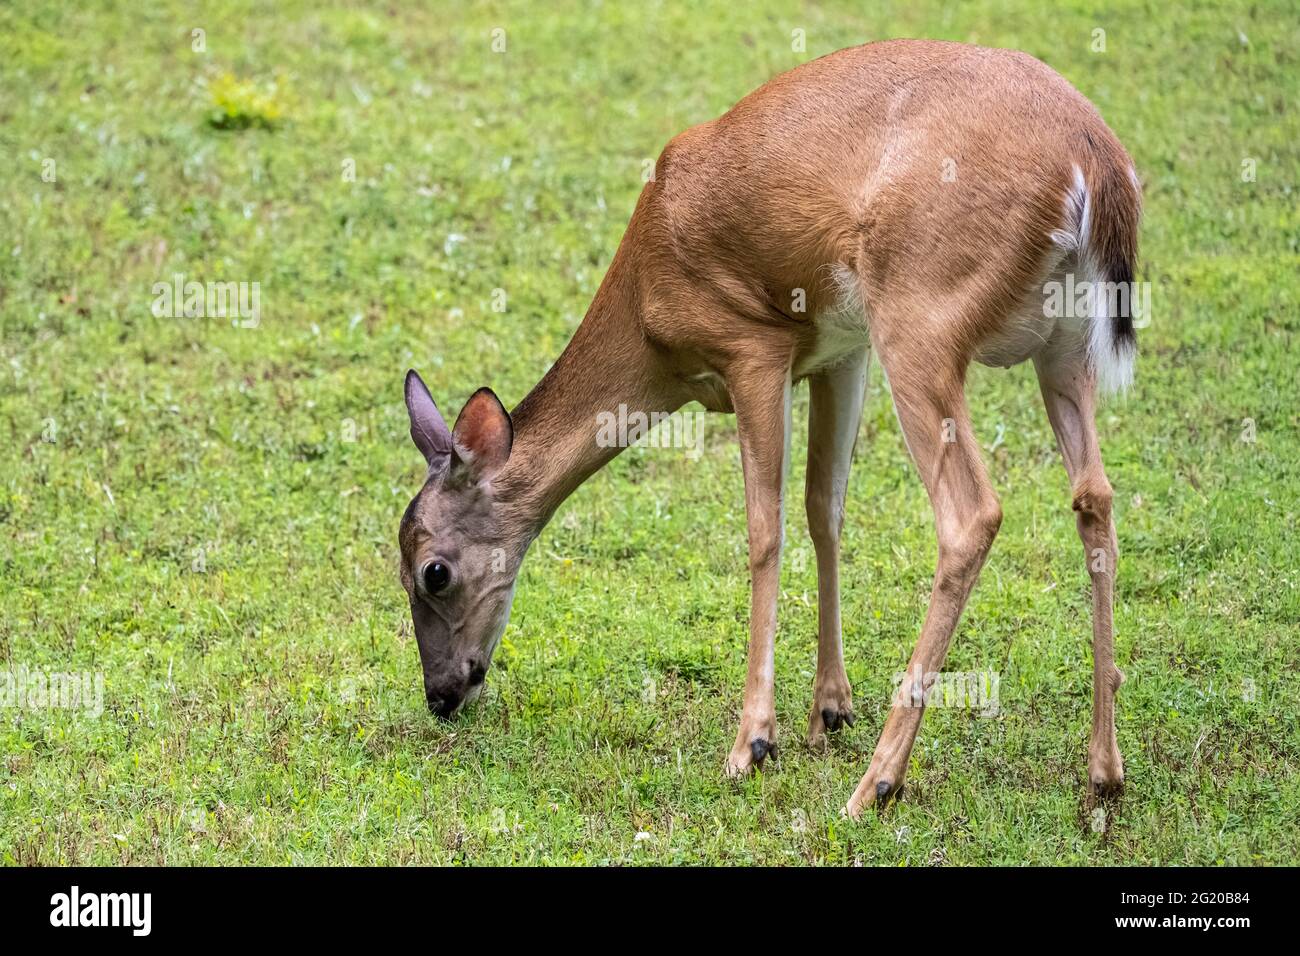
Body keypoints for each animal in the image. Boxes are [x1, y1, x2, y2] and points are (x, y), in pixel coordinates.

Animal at [395, 37, 1138, 816]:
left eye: (433, 572)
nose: (441, 695)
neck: (649, 315)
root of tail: (1095, 164)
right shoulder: (840, 352)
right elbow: (824, 509)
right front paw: (829, 709)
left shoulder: (754, 346)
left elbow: (764, 530)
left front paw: (753, 741)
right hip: (1062, 345)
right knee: (1094, 495)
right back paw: (1103, 772)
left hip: (920, 317)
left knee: (972, 513)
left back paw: (876, 783)